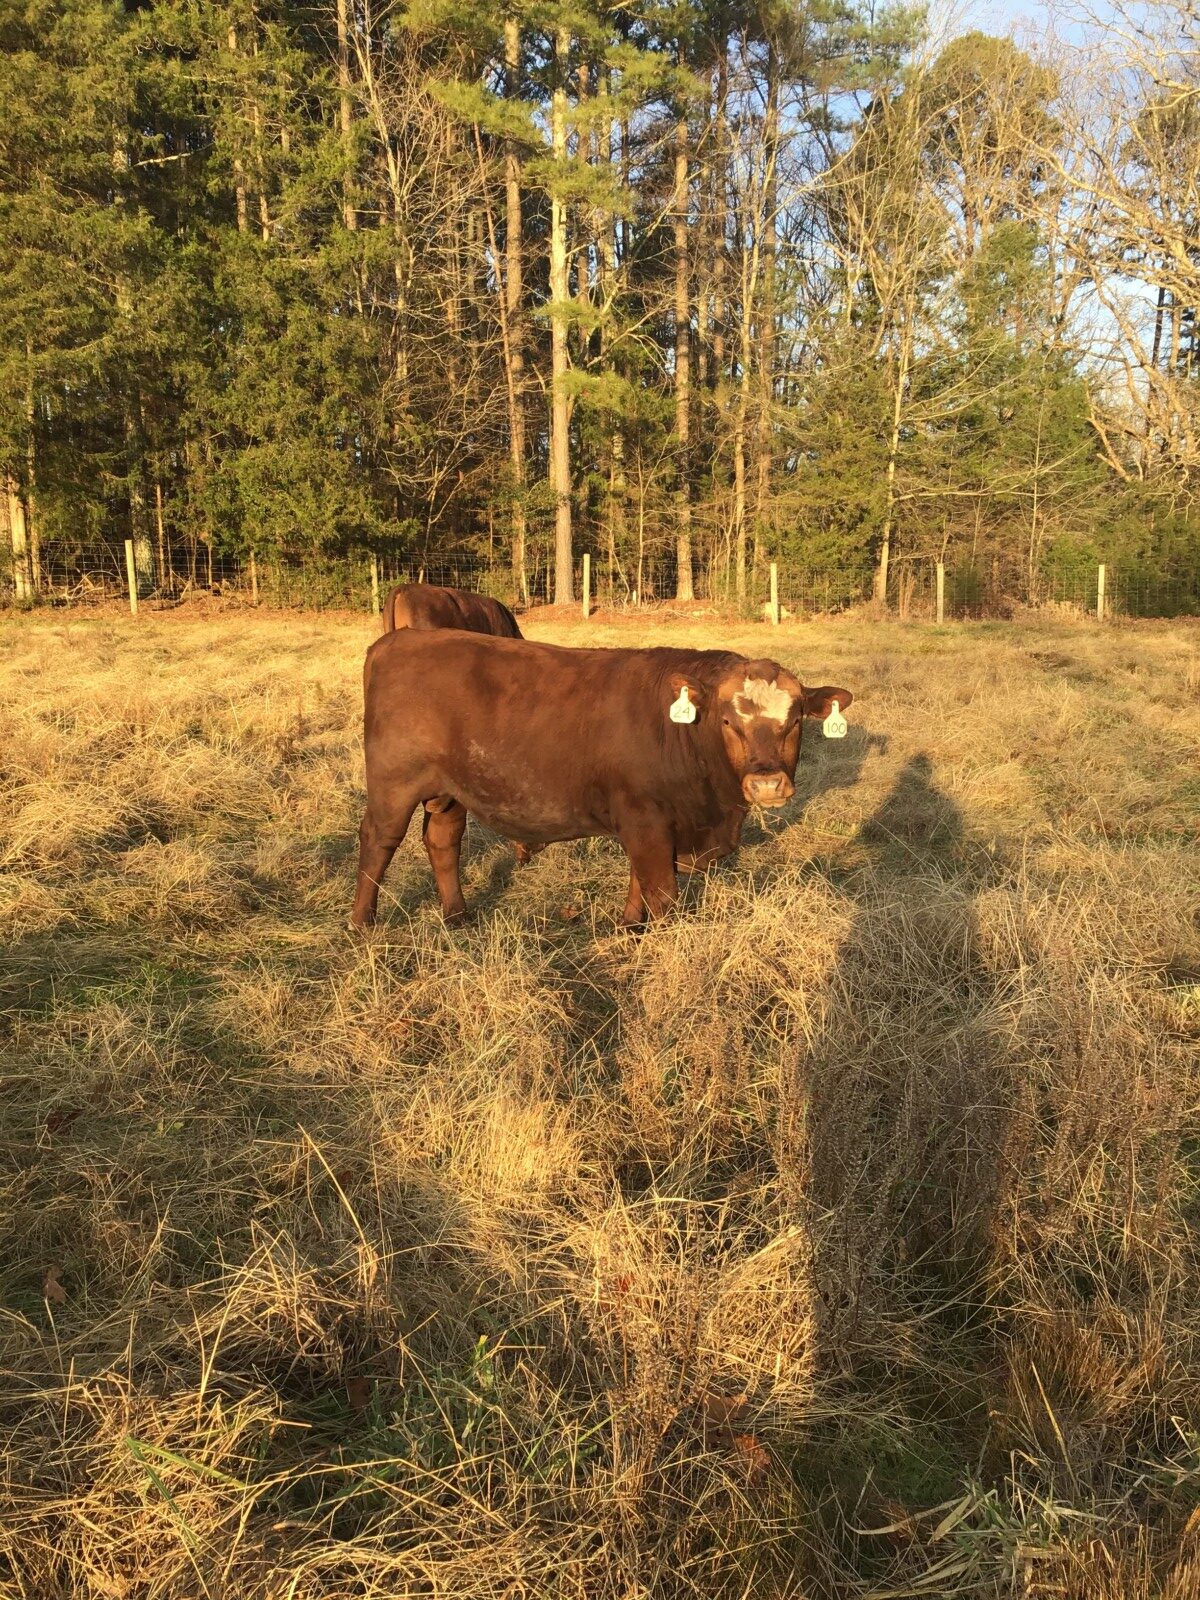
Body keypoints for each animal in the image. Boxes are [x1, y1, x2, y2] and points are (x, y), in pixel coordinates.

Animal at [350, 632, 853, 929]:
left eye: (795, 721)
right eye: (729, 722)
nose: (767, 784)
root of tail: (393, 641)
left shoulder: (653, 826)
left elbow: (639, 880)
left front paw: (629, 925)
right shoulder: (645, 819)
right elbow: (661, 892)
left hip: (450, 790)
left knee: (442, 839)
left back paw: (456, 914)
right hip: (394, 785)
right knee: (378, 842)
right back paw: (362, 922)